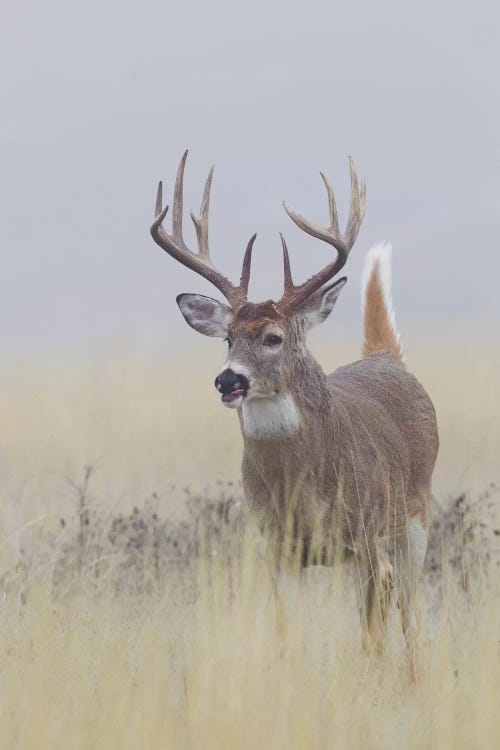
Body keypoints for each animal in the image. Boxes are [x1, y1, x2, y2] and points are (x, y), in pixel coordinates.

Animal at [150, 150, 440, 668]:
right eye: (227, 338)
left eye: (273, 337)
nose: (228, 380)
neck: (302, 488)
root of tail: (386, 358)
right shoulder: (279, 547)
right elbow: (288, 635)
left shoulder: (364, 535)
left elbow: (372, 634)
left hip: (415, 514)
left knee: (410, 611)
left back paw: (414, 674)